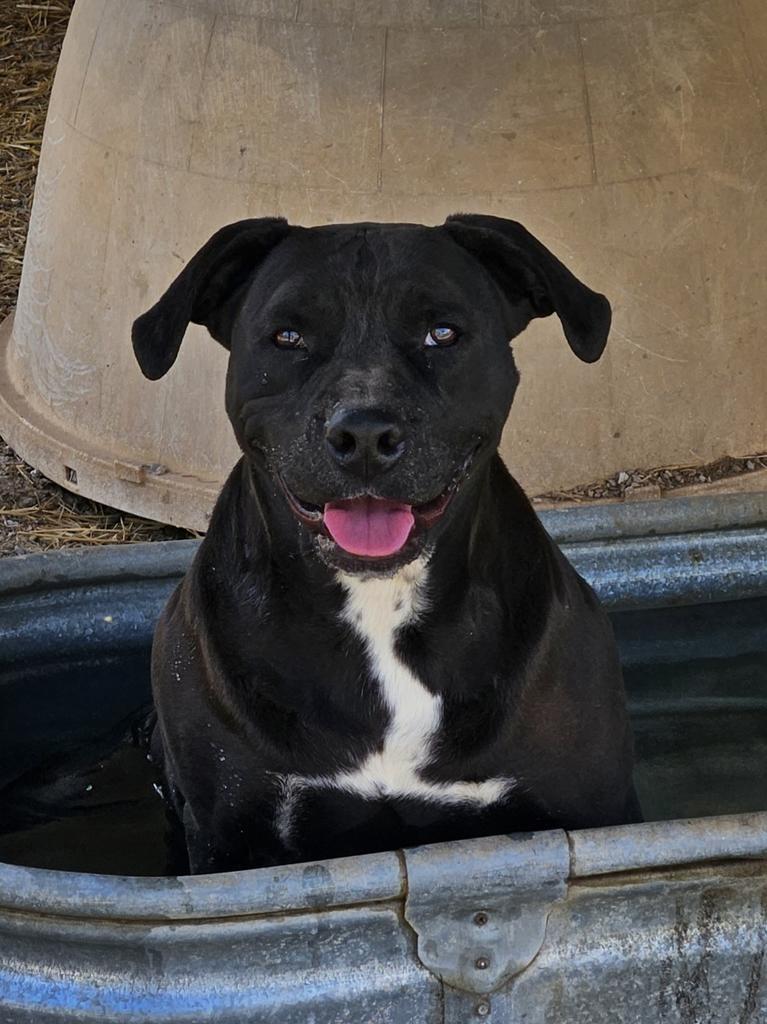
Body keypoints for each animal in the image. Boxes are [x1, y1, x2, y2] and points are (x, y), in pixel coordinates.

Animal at [133, 214, 638, 872]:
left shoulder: (591, 804)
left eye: (442, 333)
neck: (379, 604)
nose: (365, 434)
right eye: (288, 336)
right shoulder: (229, 836)